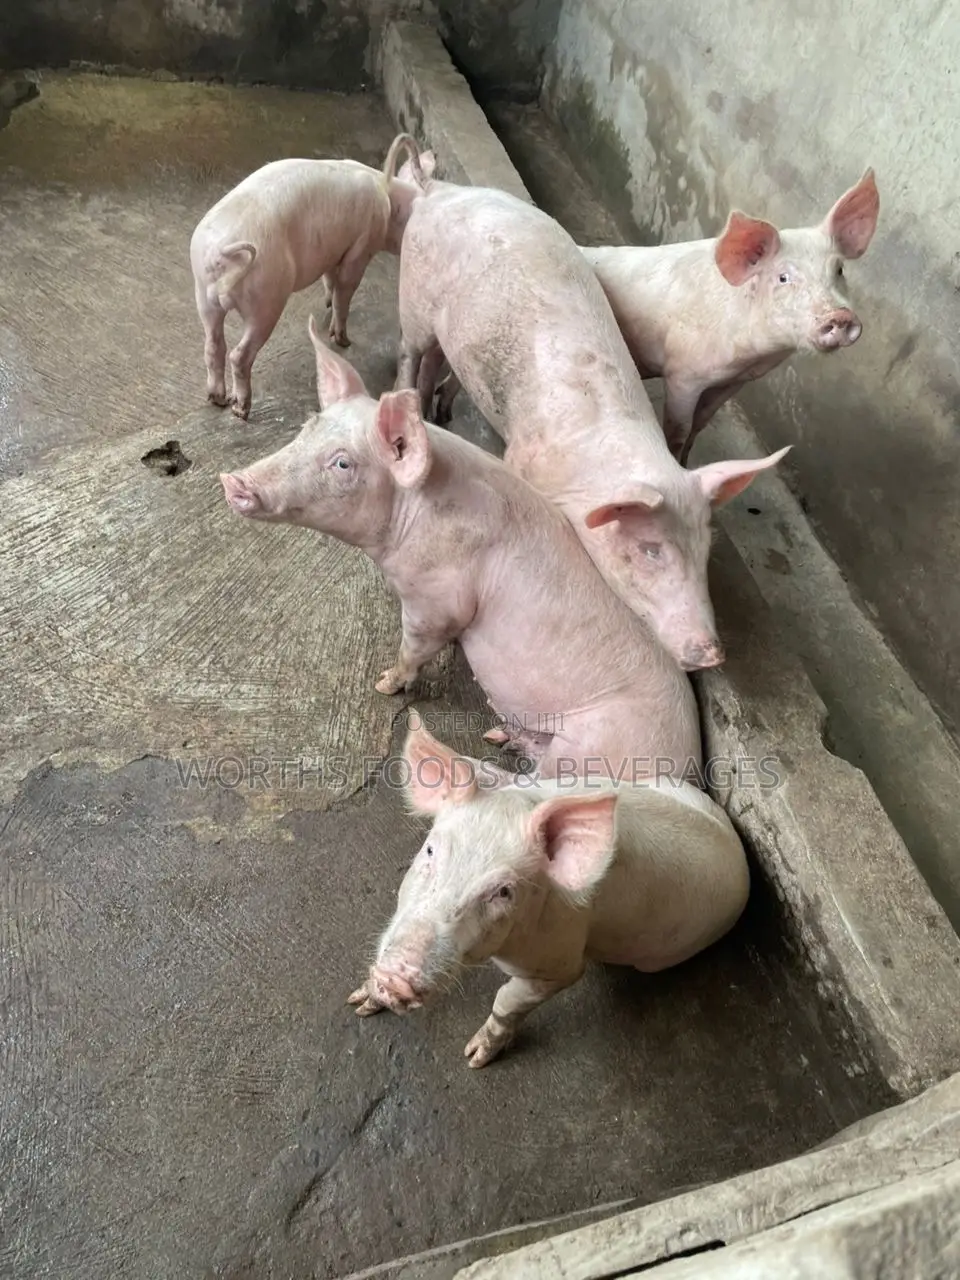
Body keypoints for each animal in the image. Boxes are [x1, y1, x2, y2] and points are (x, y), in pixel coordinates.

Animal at [189, 132, 430, 420]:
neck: (388, 201)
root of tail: (222, 255)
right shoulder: (361, 246)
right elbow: (345, 289)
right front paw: (343, 340)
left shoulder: (333, 250)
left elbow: (329, 279)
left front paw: (327, 304)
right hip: (266, 298)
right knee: (239, 354)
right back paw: (241, 410)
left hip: (203, 292)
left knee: (213, 346)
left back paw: (218, 399)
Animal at [220, 318, 701, 783]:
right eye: (306, 429)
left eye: (342, 463)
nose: (233, 481)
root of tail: (688, 761)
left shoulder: (437, 599)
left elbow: (416, 645)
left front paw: (383, 684)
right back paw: (499, 736)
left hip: (592, 747)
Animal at [347, 722, 750, 1068]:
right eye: (430, 850)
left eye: (503, 891)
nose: (396, 979)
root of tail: (743, 863)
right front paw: (360, 1004)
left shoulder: (559, 961)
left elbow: (507, 1001)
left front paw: (475, 1059)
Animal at [394, 175, 789, 671]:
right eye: (649, 549)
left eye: (705, 550)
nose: (712, 654)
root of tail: (440, 189)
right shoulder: (523, 460)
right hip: (414, 299)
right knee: (411, 352)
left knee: (438, 362)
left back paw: (439, 414)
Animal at [429, 170, 879, 467]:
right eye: (784, 277)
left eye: (839, 270)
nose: (840, 315)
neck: (751, 350)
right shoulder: (685, 371)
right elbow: (678, 426)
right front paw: (677, 461)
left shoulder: (735, 381)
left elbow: (700, 426)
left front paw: (689, 462)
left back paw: (444, 413)